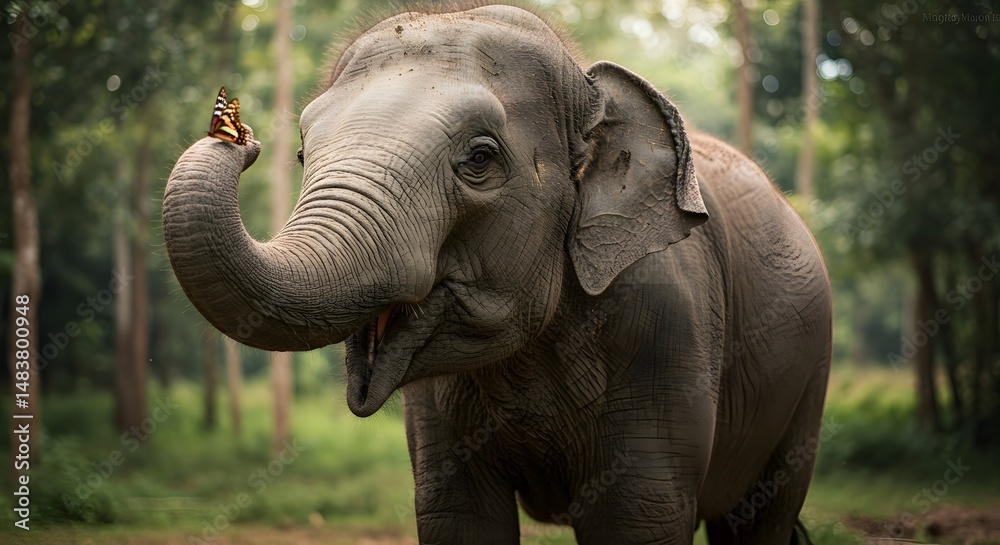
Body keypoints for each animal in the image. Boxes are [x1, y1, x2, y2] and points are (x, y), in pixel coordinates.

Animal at [162, 4, 832, 544]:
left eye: (479, 159)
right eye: (303, 153)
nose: (240, 137)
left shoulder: (667, 331)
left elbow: (635, 517)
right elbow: (457, 515)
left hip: (808, 379)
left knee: (761, 516)